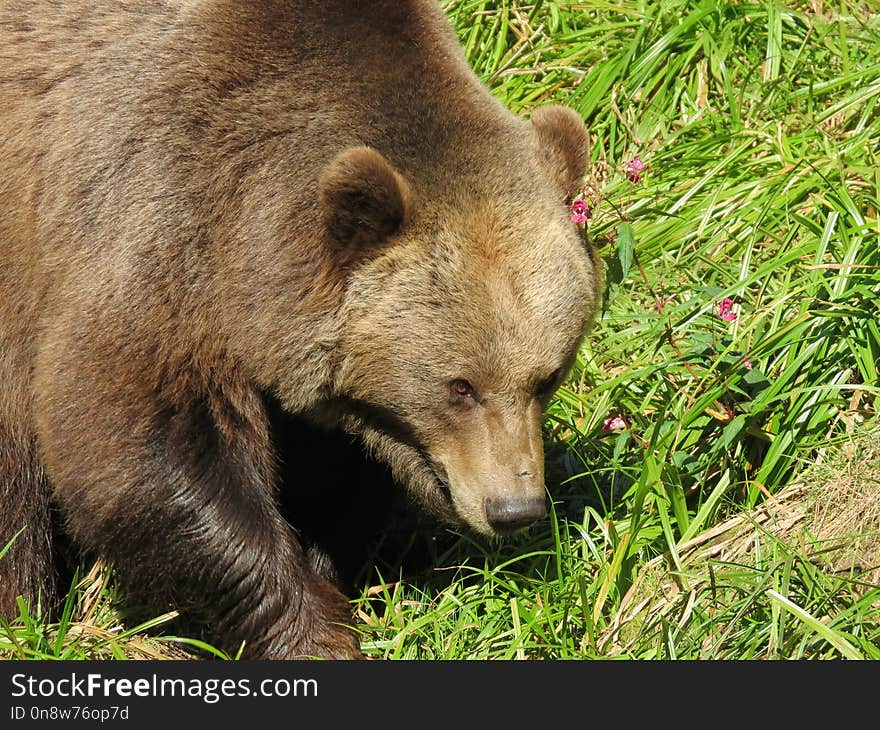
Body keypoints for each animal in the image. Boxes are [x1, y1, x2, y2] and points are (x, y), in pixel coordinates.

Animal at [0, 0, 604, 656]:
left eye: (547, 378)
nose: (513, 507)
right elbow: (139, 447)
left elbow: (328, 484)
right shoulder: (154, 230)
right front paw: (313, 633)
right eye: (460, 386)